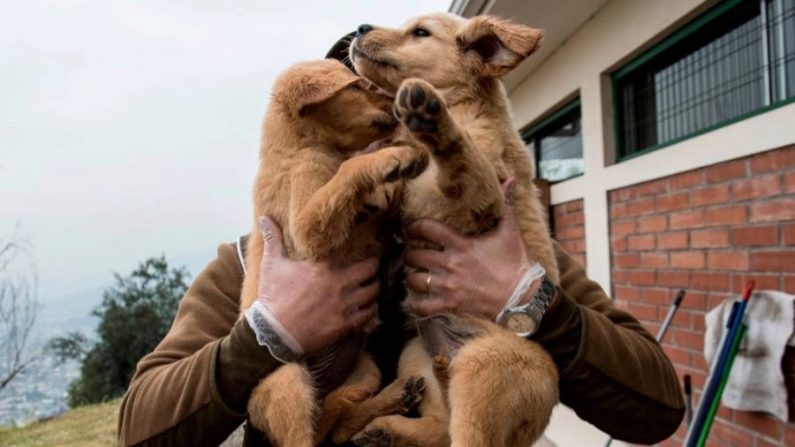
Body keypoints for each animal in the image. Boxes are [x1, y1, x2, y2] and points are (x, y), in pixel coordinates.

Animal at [241, 59, 432, 447]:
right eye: (357, 87)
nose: (399, 98)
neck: (302, 147)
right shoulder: (305, 225)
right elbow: (349, 170)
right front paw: (393, 157)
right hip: (288, 381)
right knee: (307, 434)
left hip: (364, 369)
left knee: (338, 420)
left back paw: (396, 397)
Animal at [348, 12, 560, 446]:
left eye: (420, 33)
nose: (359, 28)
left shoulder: (483, 196)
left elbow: (463, 158)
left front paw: (432, 116)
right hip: (416, 354)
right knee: (438, 426)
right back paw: (383, 429)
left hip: (485, 367)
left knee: (465, 435)